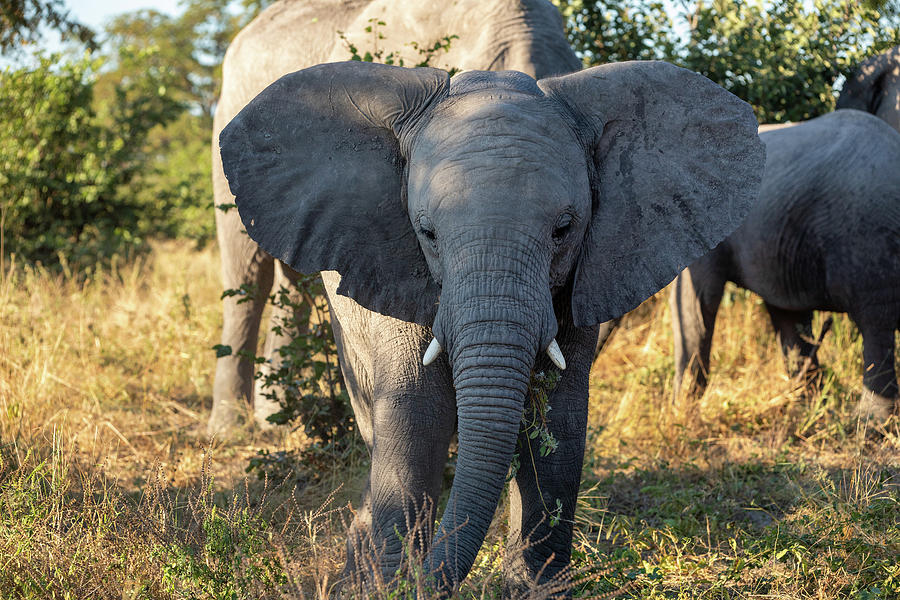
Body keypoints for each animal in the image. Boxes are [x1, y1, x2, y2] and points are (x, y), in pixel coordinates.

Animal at [221, 61, 764, 596]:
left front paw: (536, 589)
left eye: (564, 229)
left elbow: (559, 423)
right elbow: (416, 415)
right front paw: (391, 586)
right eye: (427, 232)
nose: (423, 582)